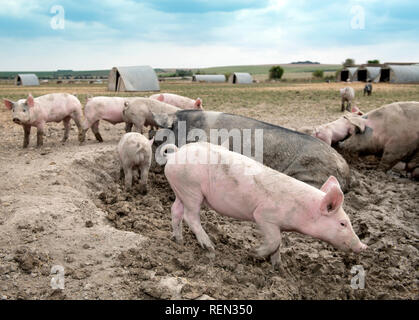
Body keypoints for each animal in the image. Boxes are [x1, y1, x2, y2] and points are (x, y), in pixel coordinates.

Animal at [162, 141, 370, 266]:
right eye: (343, 223)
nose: (363, 247)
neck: (301, 211)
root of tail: (176, 152)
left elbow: (279, 244)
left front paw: (278, 266)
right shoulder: (264, 215)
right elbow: (274, 240)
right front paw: (253, 254)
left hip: (181, 189)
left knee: (175, 211)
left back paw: (178, 240)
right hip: (192, 189)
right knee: (190, 216)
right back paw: (210, 247)